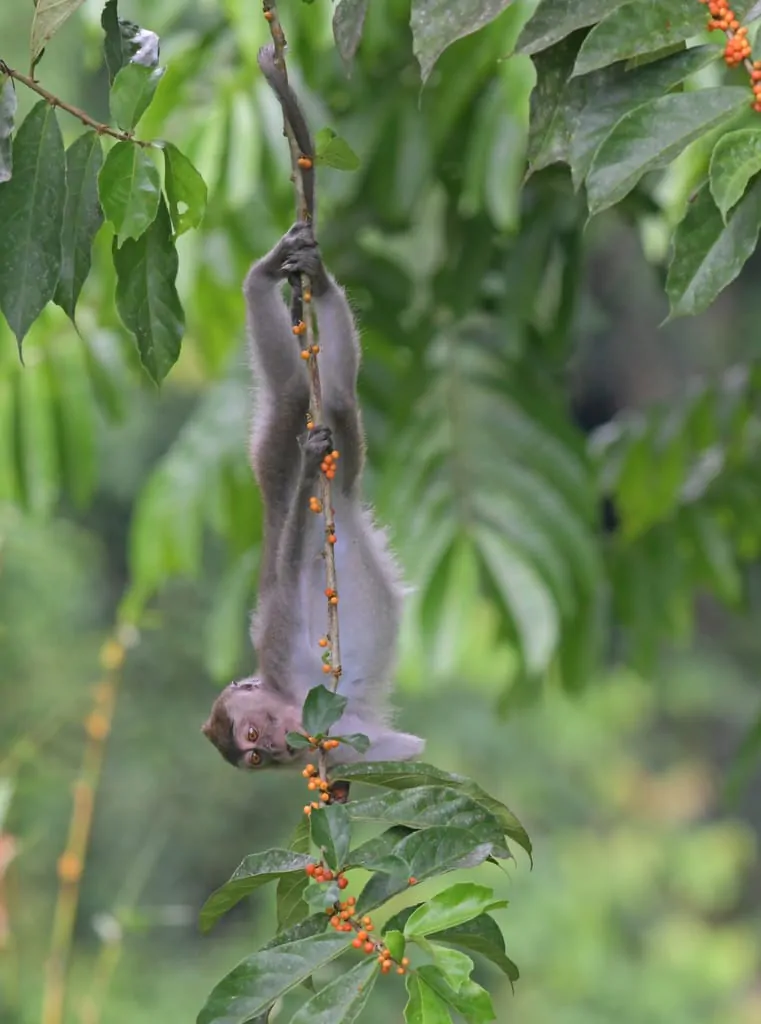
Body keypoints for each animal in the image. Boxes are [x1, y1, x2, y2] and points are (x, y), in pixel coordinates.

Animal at [200, 49, 428, 770]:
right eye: (252, 756)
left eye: (250, 737)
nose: (268, 750)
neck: (291, 700)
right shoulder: (337, 738)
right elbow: (401, 755)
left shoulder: (282, 652)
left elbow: (293, 567)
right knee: (341, 410)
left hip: (284, 436)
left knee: (305, 400)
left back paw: (282, 283)